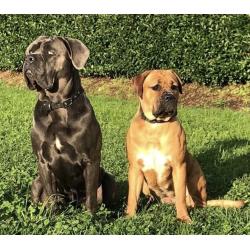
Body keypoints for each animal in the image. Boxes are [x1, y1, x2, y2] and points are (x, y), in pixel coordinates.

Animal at [23, 36, 116, 212]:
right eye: (31, 50)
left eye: (51, 53)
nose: (28, 59)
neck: (57, 105)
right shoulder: (42, 161)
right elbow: (51, 196)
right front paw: (53, 214)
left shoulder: (91, 160)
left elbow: (91, 198)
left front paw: (91, 217)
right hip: (36, 182)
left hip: (109, 178)